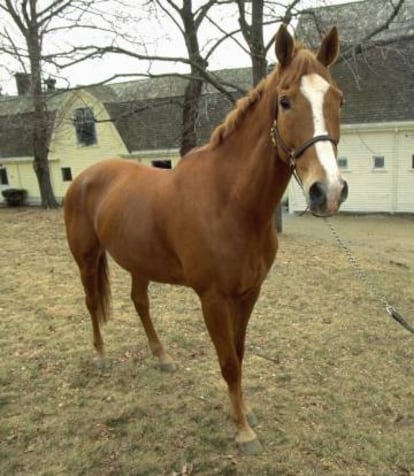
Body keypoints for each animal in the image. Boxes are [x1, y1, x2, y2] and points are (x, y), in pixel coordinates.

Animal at [64, 25, 348, 454]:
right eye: (284, 101)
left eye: (338, 99)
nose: (327, 192)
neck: (229, 201)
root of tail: (84, 177)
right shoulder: (212, 298)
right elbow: (228, 361)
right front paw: (243, 432)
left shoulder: (249, 293)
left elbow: (240, 354)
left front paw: (244, 413)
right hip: (86, 258)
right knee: (92, 302)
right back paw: (99, 355)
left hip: (138, 261)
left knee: (140, 302)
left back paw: (162, 356)